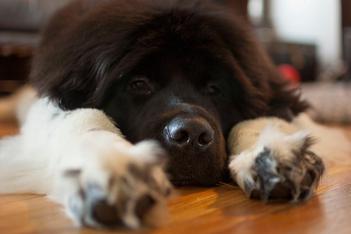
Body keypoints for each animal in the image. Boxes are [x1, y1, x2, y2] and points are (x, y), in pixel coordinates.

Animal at [0, 0, 328, 229]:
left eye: (215, 88)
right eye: (138, 84)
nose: (192, 134)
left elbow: (262, 117)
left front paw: (275, 154)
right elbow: (84, 117)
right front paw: (114, 167)